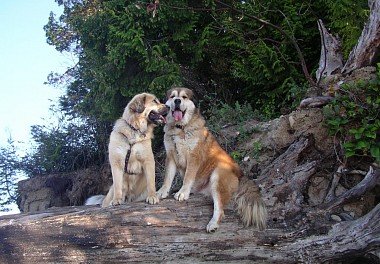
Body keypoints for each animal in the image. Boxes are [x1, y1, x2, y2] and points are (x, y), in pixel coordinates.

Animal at [157, 87, 268, 231]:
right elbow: (168, 177)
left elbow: (188, 177)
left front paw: (183, 192)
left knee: (220, 209)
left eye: (184, 97)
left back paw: (213, 224)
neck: (180, 129)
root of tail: (240, 174)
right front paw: (162, 191)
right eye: (172, 96)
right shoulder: (170, 156)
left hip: (218, 174)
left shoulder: (193, 157)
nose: (177, 101)